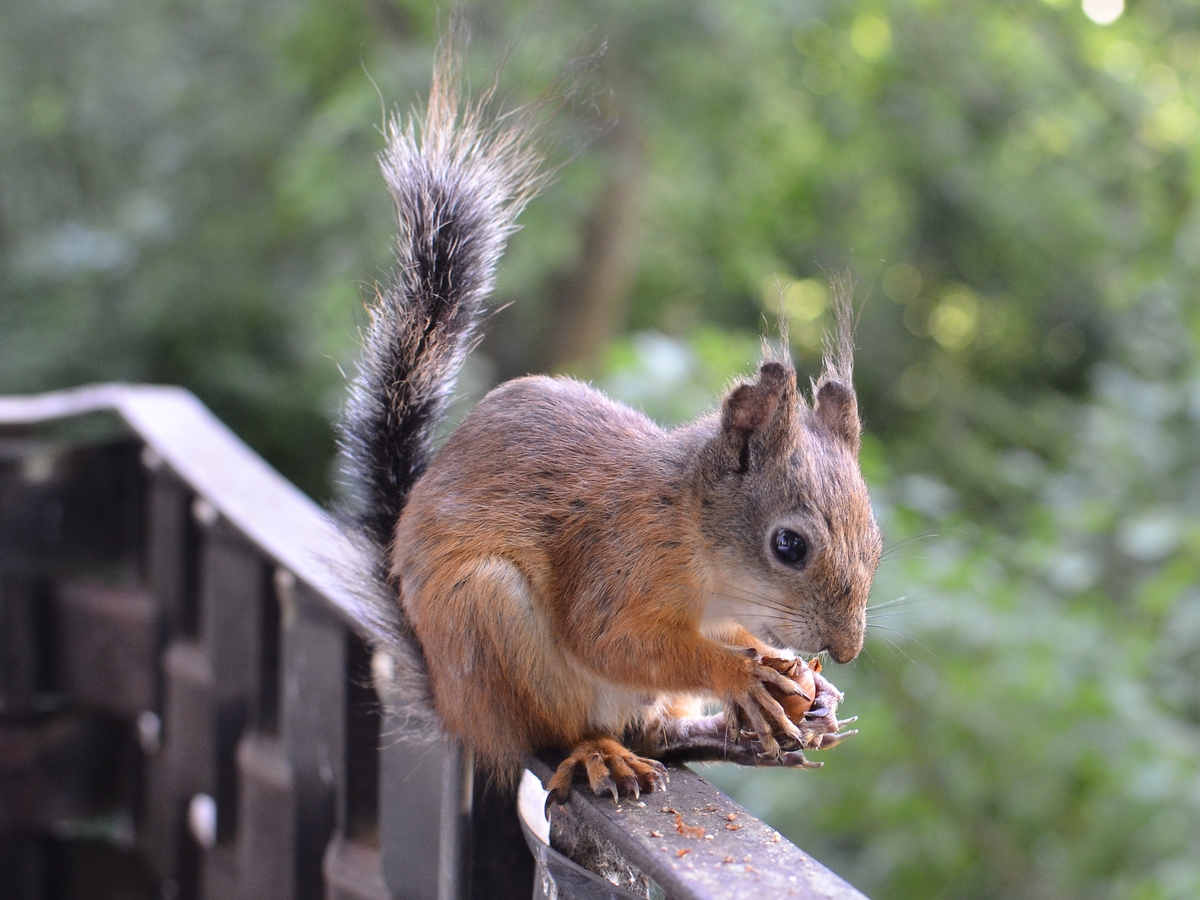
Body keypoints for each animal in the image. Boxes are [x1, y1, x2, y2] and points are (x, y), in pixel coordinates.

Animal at [337, 38, 883, 806]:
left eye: (876, 540)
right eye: (789, 546)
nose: (847, 650)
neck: (693, 536)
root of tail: (450, 702)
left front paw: (798, 679)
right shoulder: (615, 558)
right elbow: (615, 640)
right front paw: (741, 673)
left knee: (656, 732)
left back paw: (736, 738)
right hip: (490, 623)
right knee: (557, 733)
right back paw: (599, 753)